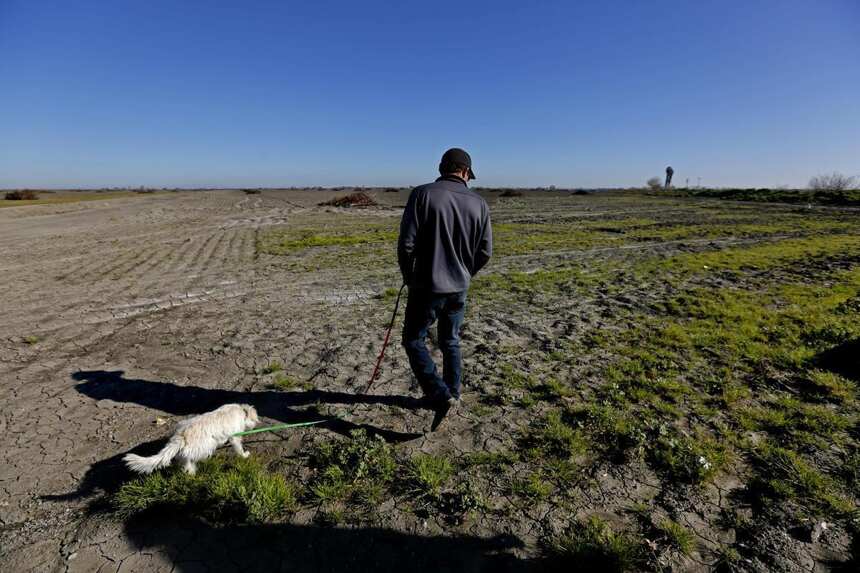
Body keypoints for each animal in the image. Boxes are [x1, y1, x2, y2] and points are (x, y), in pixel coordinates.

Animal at [123, 402, 258, 474]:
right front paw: (244, 455)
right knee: (188, 461)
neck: (241, 410)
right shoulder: (235, 437)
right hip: (204, 447)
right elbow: (239, 448)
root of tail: (181, 436)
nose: (257, 424)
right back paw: (192, 472)